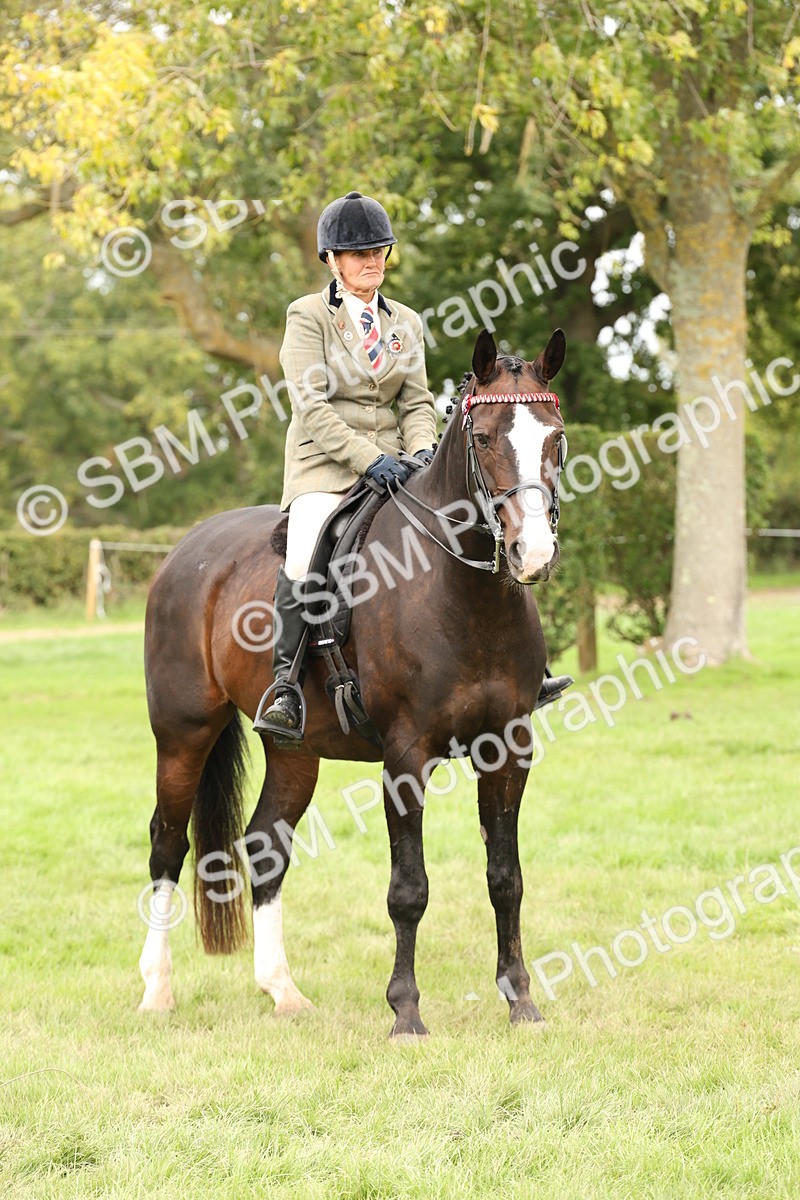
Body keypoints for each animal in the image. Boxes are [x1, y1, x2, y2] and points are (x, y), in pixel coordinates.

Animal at [138, 327, 567, 1037]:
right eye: (482, 439)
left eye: (556, 437)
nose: (532, 554)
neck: (462, 593)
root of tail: (187, 550)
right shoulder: (405, 755)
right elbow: (409, 889)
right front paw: (406, 1013)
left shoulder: (509, 748)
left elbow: (506, 877)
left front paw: (521, 1002)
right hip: (182, 735)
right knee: (167, 846)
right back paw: (156, 990)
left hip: (293, 749)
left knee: (265, 845)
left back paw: (282, 991)